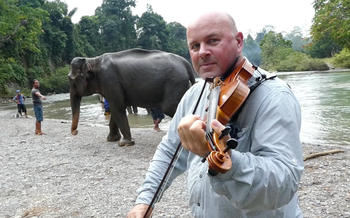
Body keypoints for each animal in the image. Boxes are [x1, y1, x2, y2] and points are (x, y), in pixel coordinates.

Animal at [67, 48, 196, 146]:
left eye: (70, 79)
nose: (75, 132)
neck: (93, 60)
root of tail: (185, 62)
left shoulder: (110, 80)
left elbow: (117, 108)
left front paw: (124, 143)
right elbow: (116, 109)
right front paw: (112, 139)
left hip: (175, 84)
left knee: (171, 108)